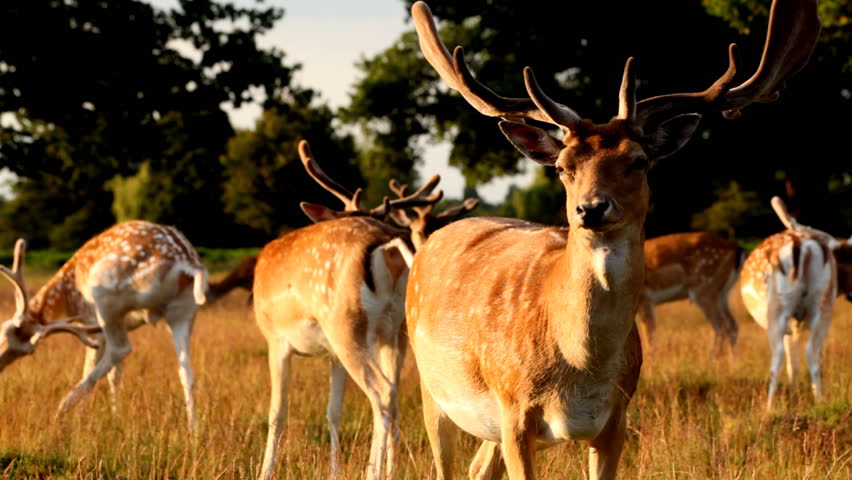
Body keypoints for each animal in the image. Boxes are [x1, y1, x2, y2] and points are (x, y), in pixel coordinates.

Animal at [0, 220, 208, 429]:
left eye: (3, 331)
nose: (0, 363)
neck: (67, 298)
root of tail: (188, 264)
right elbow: (115, 374)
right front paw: (116, 416)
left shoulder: (92, 324)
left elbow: (93, 364)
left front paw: (82, 417)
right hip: (184, 311)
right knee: (185, 369)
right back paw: (192, 429)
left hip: (107, 298)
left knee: (121, 349)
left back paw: (63, 406)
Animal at [254, 139, 443, 480]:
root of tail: (388, 245)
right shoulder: (332, 354)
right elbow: (333, 412)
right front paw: (334, 472)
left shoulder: (276, 340)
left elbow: (277, 412)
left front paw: (265, 473)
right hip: (395, 332)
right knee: (396, 396)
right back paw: (390, 471)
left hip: (346, 326)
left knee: (382, 394)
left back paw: (373, 473)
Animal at [405, 1, 819, 478]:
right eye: (563, 167)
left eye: (639, 161)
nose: (591, 208)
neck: (580, 365)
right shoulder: (515, 411)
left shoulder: (616, 419)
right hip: (433, 389)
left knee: (478, 468)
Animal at [739, 196, 852, 410]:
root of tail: (804, 246)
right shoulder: (795, 326)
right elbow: (796, 364)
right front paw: (794, 397)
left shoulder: (788, 326)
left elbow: (791, 363)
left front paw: (791, 399)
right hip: (824, 305)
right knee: (813, 351)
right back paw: (820, 402)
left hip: (777, 310)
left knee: (778, 357)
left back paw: (768, 409)